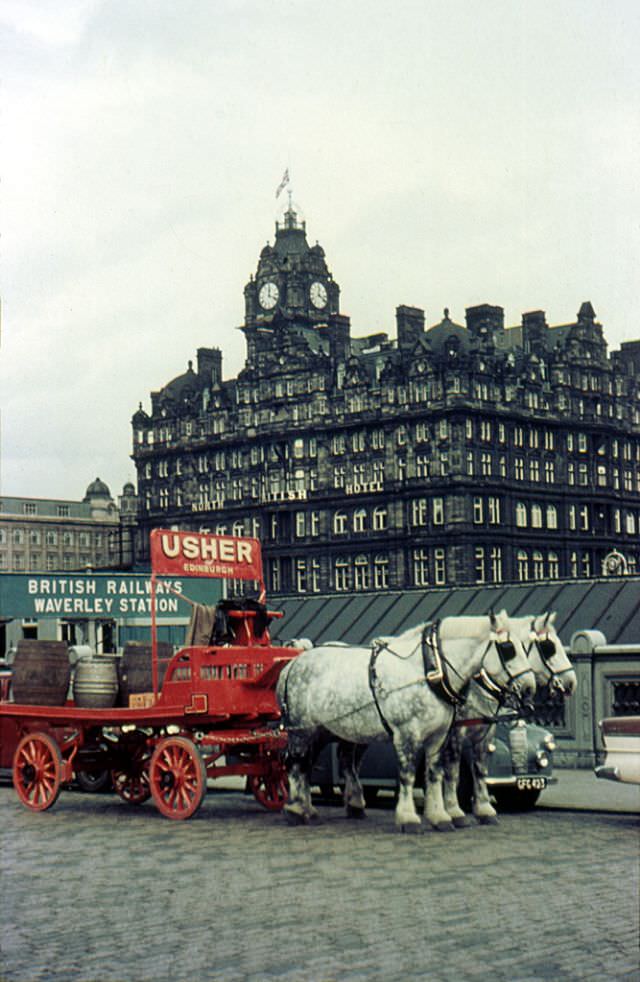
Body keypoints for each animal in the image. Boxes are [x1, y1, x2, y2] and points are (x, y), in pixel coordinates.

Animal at [278, 612, 536, 836]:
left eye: (527, 647)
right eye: (508, 648)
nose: (530, 687)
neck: (427, 671)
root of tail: (292, 665)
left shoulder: (438, 736)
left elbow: (434, 774)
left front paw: (439, 817)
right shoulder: (407, 734)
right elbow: (408, 774)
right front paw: (408, 818)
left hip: (322, 732)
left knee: (310, 765)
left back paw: (311, 809)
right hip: (301, 731)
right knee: (296, 764)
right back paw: (296, 810)